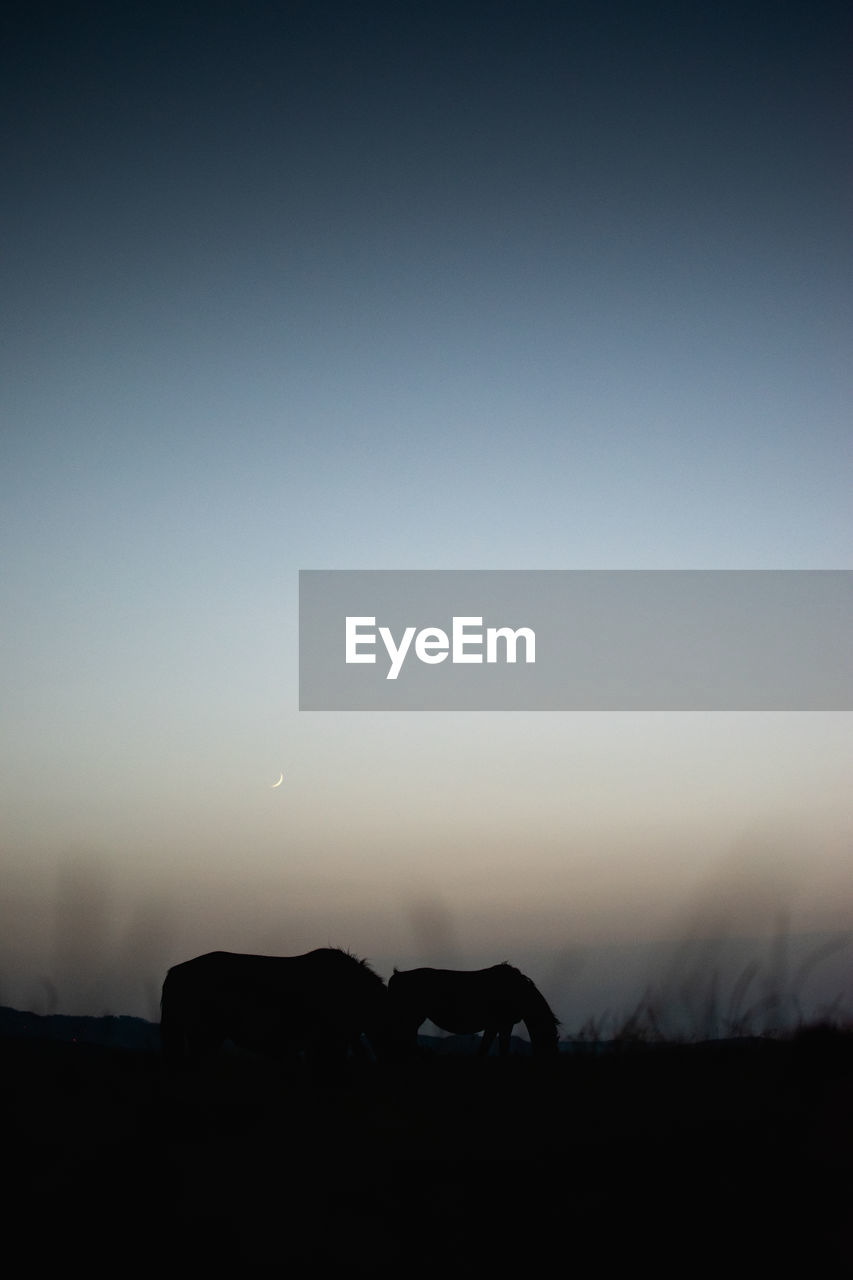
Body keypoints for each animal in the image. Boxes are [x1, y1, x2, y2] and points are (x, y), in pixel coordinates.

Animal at [389, 962, 560, 1059]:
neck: (519, 992)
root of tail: (397, 975)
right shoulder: (499, 1024)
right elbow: (489, 1048)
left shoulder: (502, 1025)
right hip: (410, 1018)